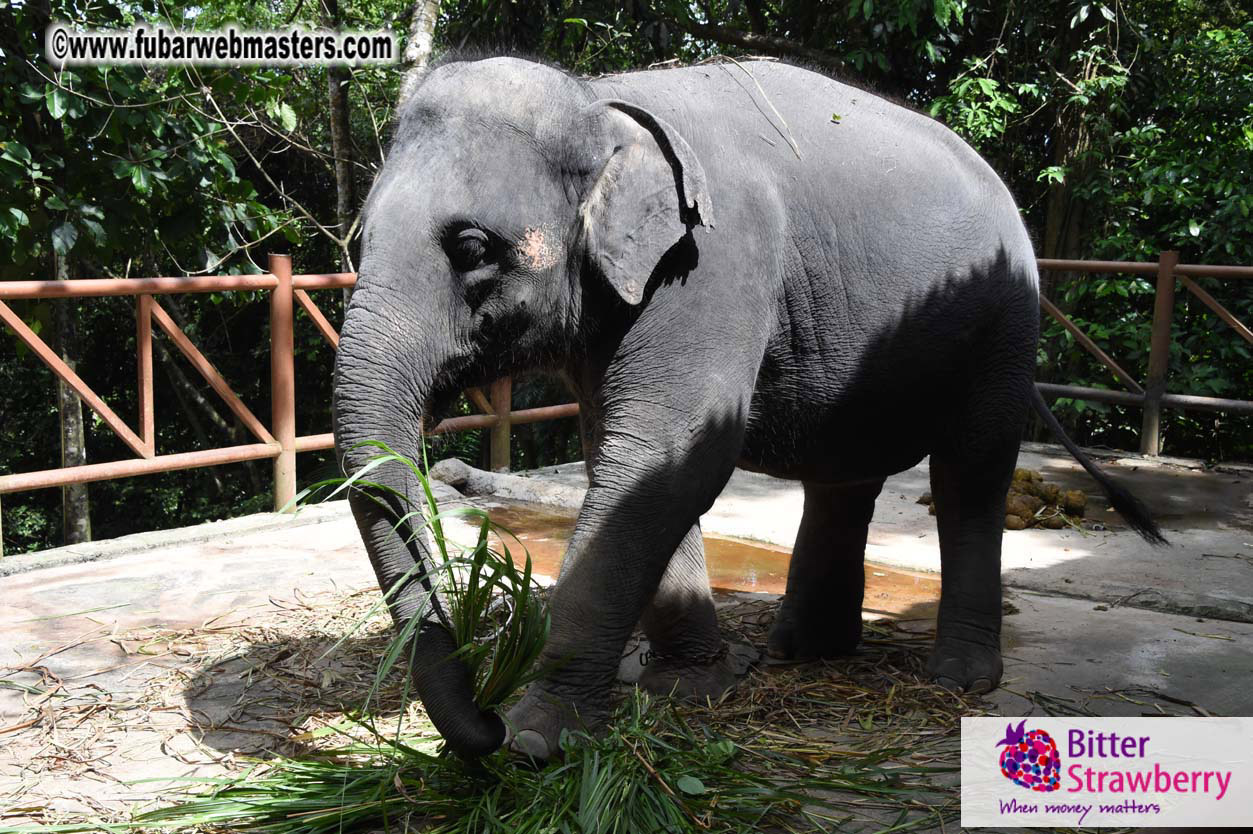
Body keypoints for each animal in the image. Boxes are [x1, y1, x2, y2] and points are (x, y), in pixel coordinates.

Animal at [332, 55, 1164, 761]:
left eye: (472, 247)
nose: (485, 724)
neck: (604, 103)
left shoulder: (714, 261)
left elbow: (672, 456)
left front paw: (541, 740)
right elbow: (627, 458)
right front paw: (686, 687)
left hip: (1003, 321)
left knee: (970, 473)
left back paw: (956, 678)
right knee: (844, 479)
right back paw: (805, 650)